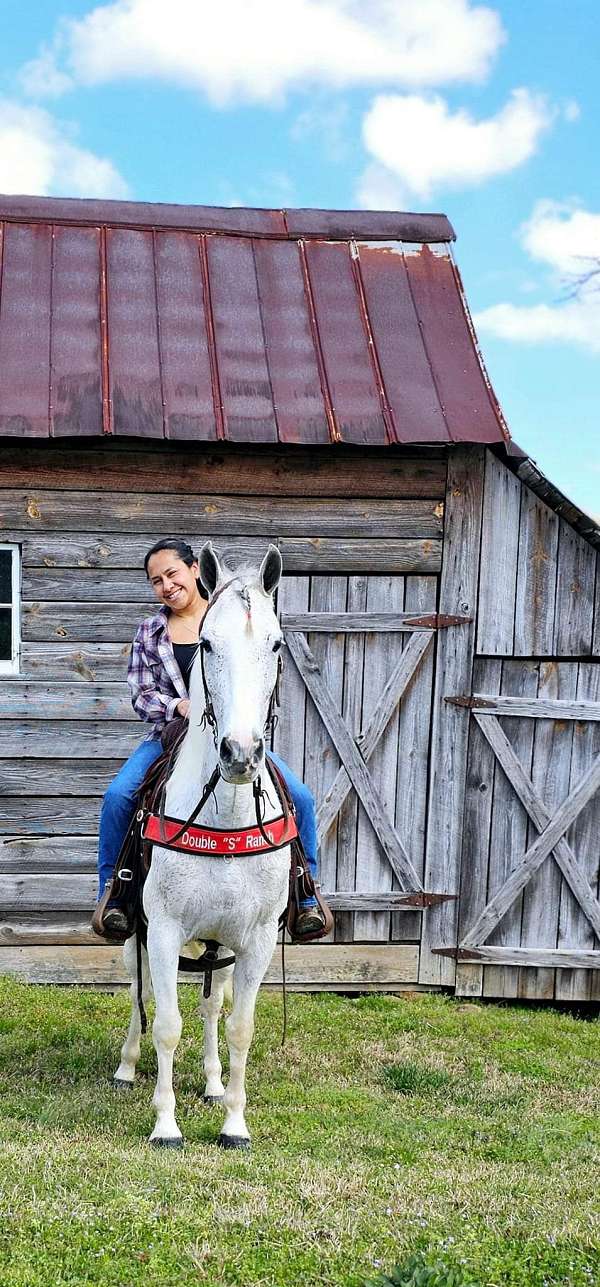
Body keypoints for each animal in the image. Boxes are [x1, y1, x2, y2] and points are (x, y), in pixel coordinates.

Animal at [113, 540, 292, 1148]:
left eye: (275, 642)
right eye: (208, 644)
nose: (240, 753)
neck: (224, 815)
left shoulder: (255, 940)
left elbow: (240, 1026)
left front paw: (234, 1121)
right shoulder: (164, 929)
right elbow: (167, 1024)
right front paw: (165, 1124)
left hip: (220, 946)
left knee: (214, 1004)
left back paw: (213, 1084)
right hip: (137, 933)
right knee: (141, 993)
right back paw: (126, 1066)